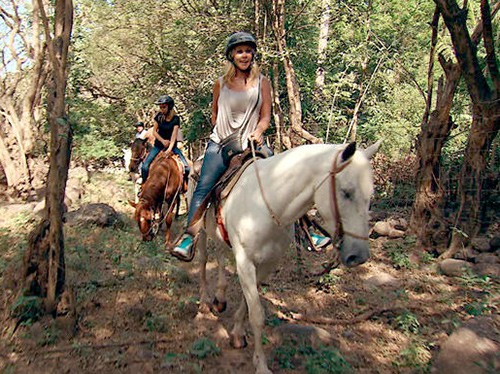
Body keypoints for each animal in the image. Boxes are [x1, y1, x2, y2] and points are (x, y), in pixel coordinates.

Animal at [192, 141, 378, 374]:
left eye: (370, 195)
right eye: (346, 192)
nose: (359, 256)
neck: (266, 203)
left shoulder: (267, 264)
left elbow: (247, 303)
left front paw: (237, 334)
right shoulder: (245, 262)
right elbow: (257, 315)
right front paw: (261, 364)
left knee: (220, 254)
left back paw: (220, 298)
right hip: (201, 231)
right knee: (203, 260)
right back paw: (205, 302)